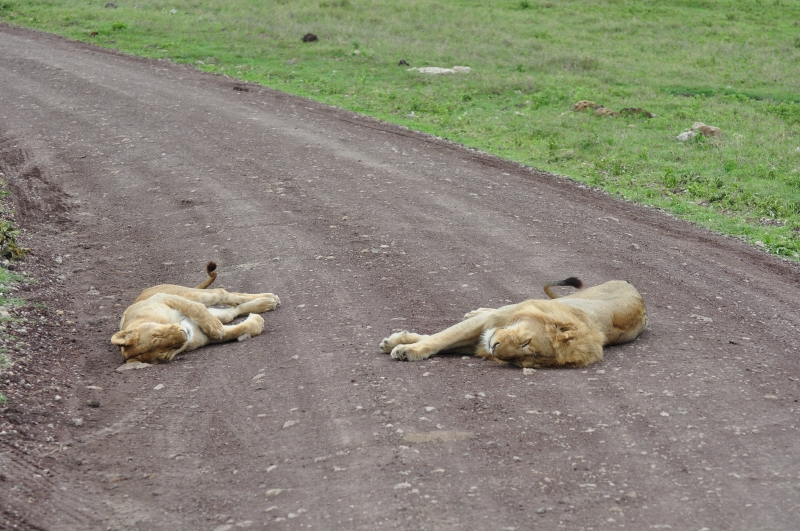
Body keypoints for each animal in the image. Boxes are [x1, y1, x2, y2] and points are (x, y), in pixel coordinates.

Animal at [112, 262, 280, 364]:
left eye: (157, 335)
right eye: (167, 351)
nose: (184, 333)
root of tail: (145, 290)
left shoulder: (164, 298)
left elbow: (196, 308)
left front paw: (215, 328)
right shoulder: (205, 338)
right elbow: (240, 329)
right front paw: (257, 322)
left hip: (189, 293)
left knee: (222, 294)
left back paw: (270, 299)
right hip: (217, 311)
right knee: (231, 312)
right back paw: (265, 303)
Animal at [380, 278, 647, 369]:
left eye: (520, 361)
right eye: (526, 342)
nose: (495, 348)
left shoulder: (480, 340)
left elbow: (442, 340)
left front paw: (400, 343)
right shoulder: (489, 323)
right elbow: (440, 337)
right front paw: (403, 346)